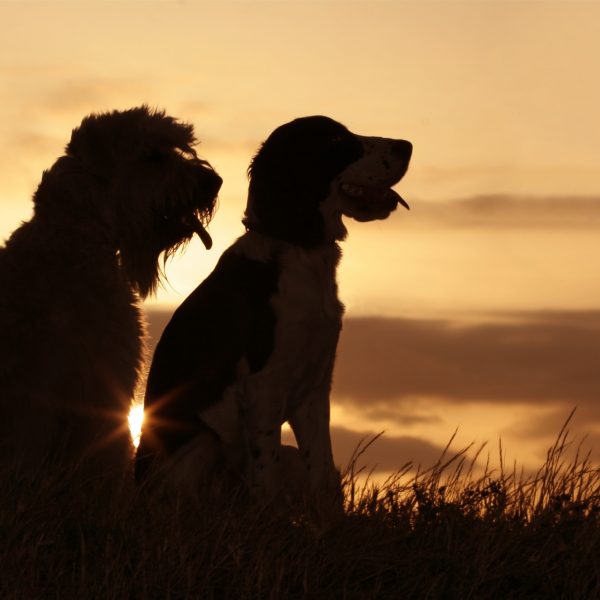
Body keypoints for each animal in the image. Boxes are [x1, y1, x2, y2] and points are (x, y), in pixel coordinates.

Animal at [134, 116, 410, 510]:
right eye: (336, 139)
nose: (406, 146)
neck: (299, 249)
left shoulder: (314, 389)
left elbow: (322, 471)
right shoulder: (265, 385)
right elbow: (266, 477)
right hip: (202, 441)